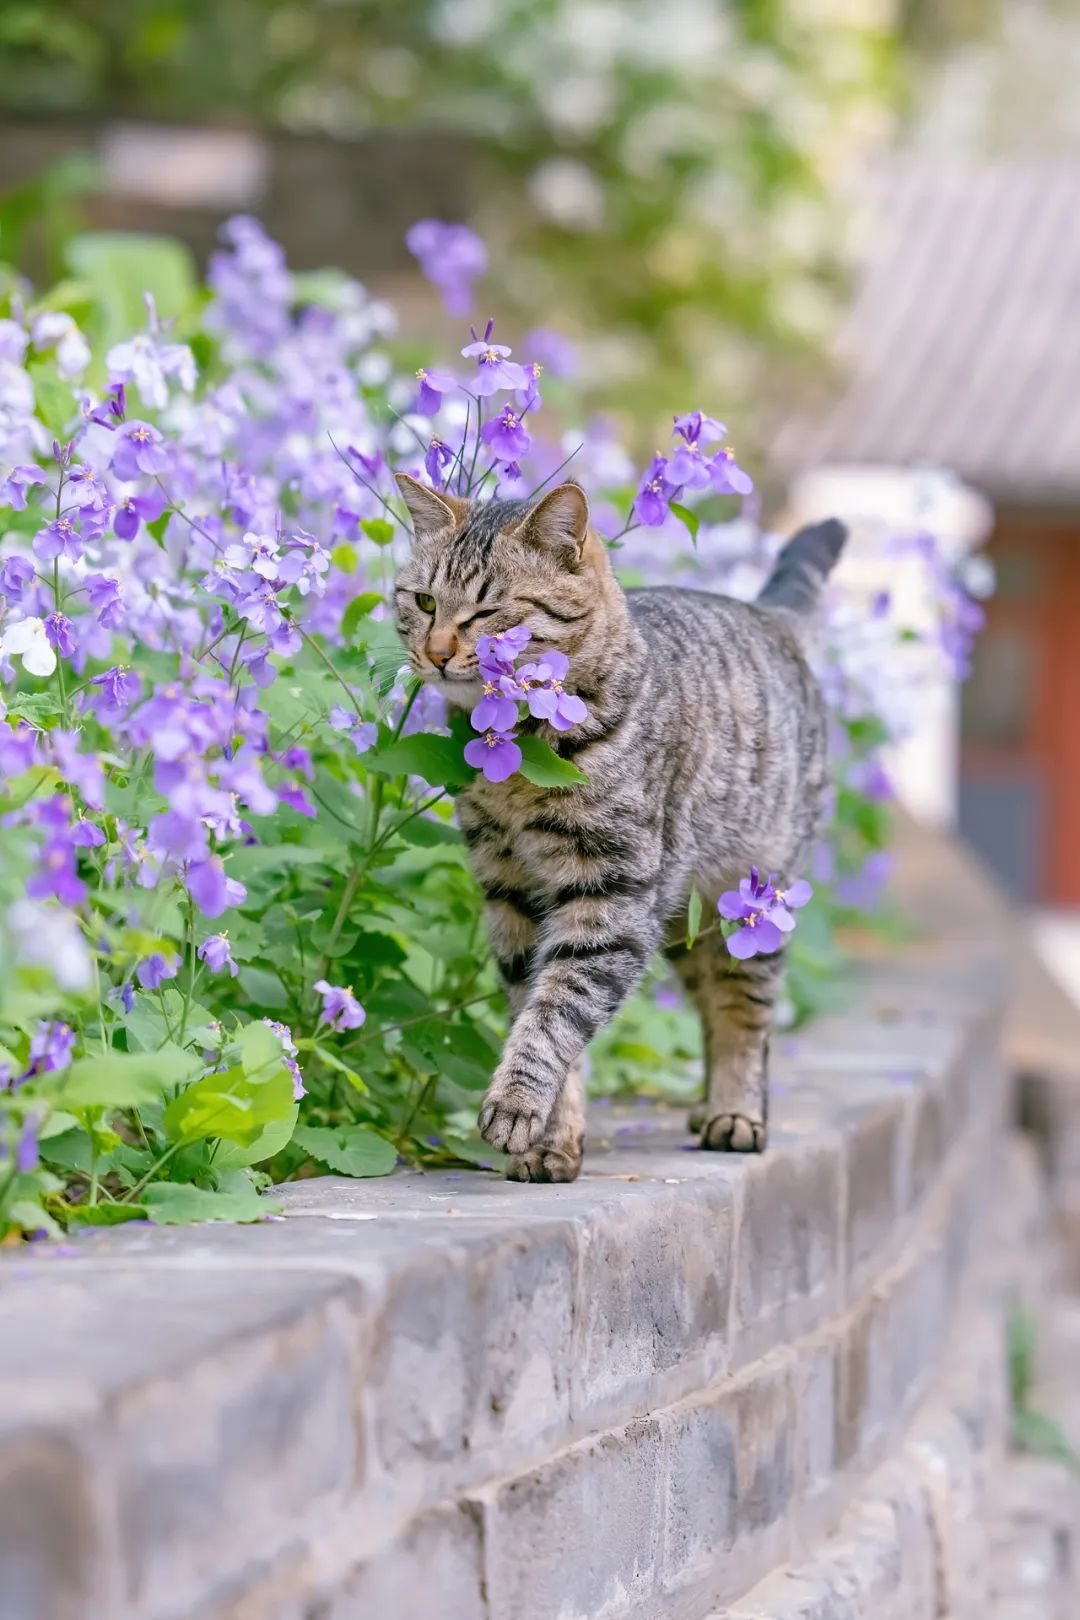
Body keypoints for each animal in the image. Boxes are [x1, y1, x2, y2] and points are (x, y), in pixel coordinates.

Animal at [395, 473, 841, 1185]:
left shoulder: (610, 898)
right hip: (684, 920)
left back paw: (737, 1113)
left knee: (745, 1010)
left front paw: (517, 1103)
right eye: (424, 600)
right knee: (711, 1003)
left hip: (750, 898)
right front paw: (551, 1141)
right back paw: (707, 1106)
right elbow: (539, 1008)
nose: (435, 654)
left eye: (488, 614)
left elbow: (557, 1012)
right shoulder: (511, 893)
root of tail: (770, 615)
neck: (523, 756)